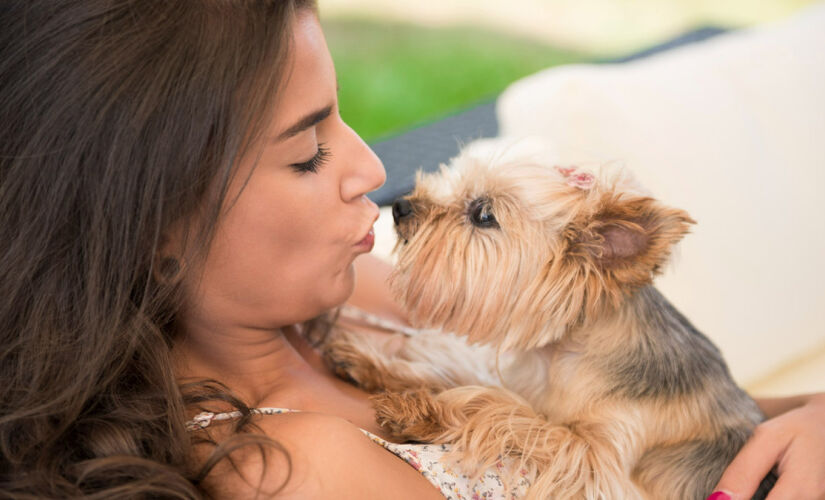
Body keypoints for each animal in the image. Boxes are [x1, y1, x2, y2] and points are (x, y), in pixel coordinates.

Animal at [320, 143, 772, 498]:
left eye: (484, 215)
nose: (400, 206)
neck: (564, 352)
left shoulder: (602, 467)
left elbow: (505, 410)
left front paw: (420, 412)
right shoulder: (530, 385)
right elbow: (471, 380)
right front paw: (372, 364)